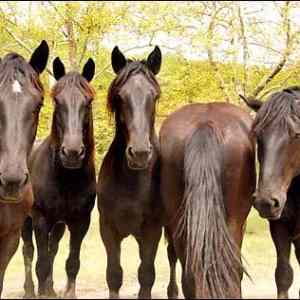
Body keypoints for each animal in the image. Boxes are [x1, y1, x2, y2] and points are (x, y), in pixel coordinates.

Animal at [21, 56, 96, 298]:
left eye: (88, 102)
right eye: (57, 101)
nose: (72, 152)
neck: (66, 179)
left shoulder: (80, 222)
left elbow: (71, 262)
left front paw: (64, 292)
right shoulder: (41, 219)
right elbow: (41, 262)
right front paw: (42, 292)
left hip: (59, 225)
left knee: (52, 249)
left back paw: (50, 288)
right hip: (26, 221)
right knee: (28, 252)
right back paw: (30, 290)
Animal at [96, 45, 168, 298]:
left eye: (154, 96)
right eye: (120, 96)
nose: (139, 153)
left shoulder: (151, 231)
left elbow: (146, 275)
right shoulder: (108, 229)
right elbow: (113, 275)